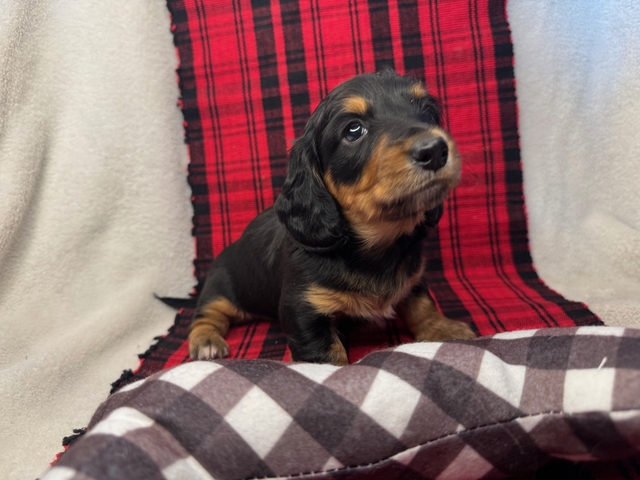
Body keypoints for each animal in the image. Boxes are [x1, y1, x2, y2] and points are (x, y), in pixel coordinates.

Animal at [189, 70, 476, 365]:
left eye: (427, 113)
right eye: (353, 130)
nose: (435, 151)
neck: (378, 244)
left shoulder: (414, 278)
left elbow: (421, 304)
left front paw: (443, 328)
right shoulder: (304, 309)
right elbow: (326, 356)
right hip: (222, 286)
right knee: (206, 314)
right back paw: (207, 340)